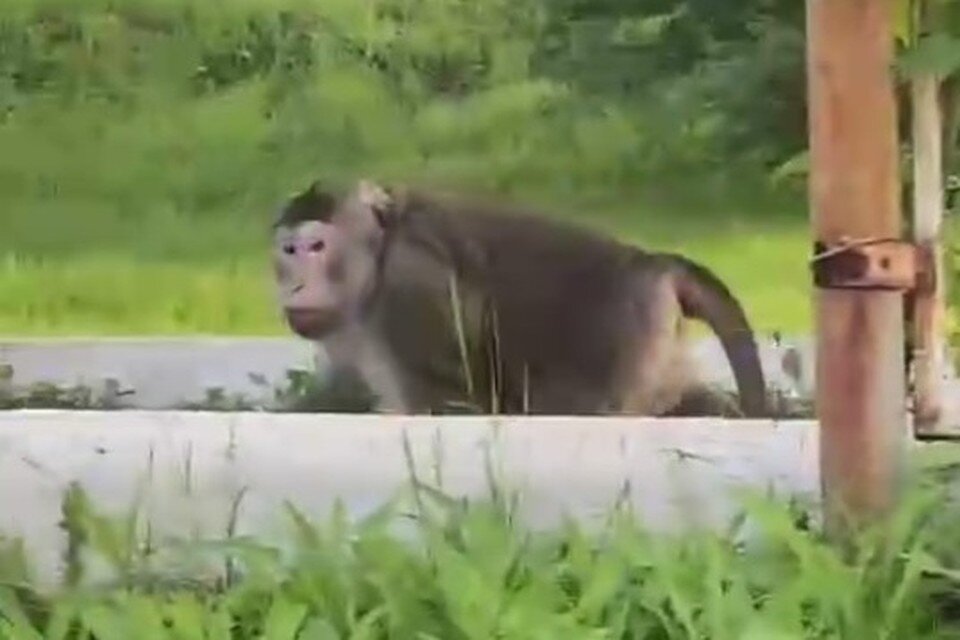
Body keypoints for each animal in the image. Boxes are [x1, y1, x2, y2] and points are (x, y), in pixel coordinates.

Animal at [272, 179, 772, 420]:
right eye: (289, 251)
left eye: (315, 247)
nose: (294, 285)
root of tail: (650, 263)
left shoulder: (412, 288)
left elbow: (459, 401)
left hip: (630, 330)